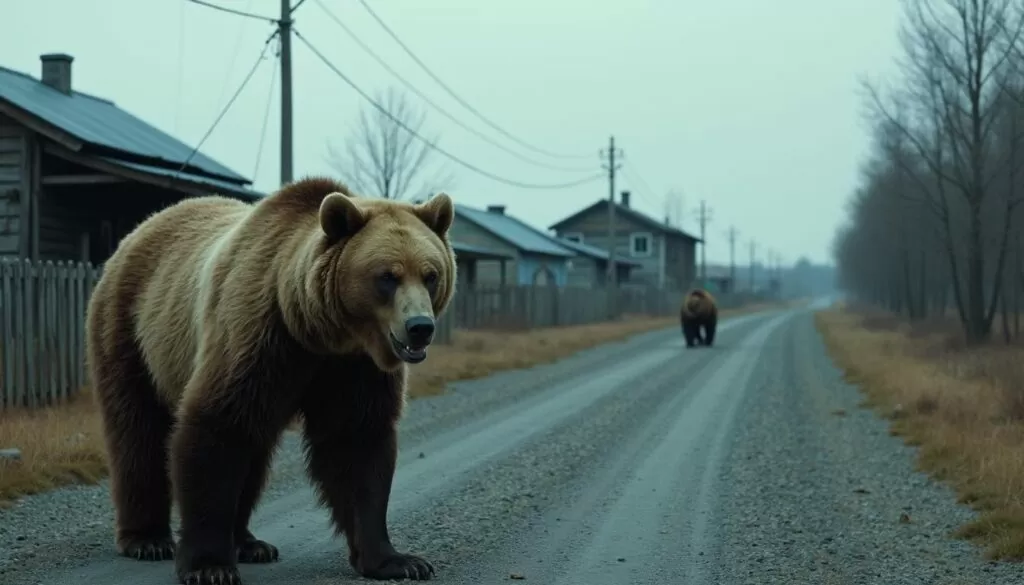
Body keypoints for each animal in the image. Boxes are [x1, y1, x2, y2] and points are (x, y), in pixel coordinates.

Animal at [84, 176, 457, 585]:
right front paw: (209, 566)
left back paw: (250, 543)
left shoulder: (353, 368)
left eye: (431, 274)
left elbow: (358, 442)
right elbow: (217, 428)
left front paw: (397, 560)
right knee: (138, 433)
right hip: (131, 331)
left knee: (255, 451)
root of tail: (140, 229)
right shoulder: (260, 338)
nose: (420, 327)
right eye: (387, 276)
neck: (319, 333)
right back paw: (147, 539)